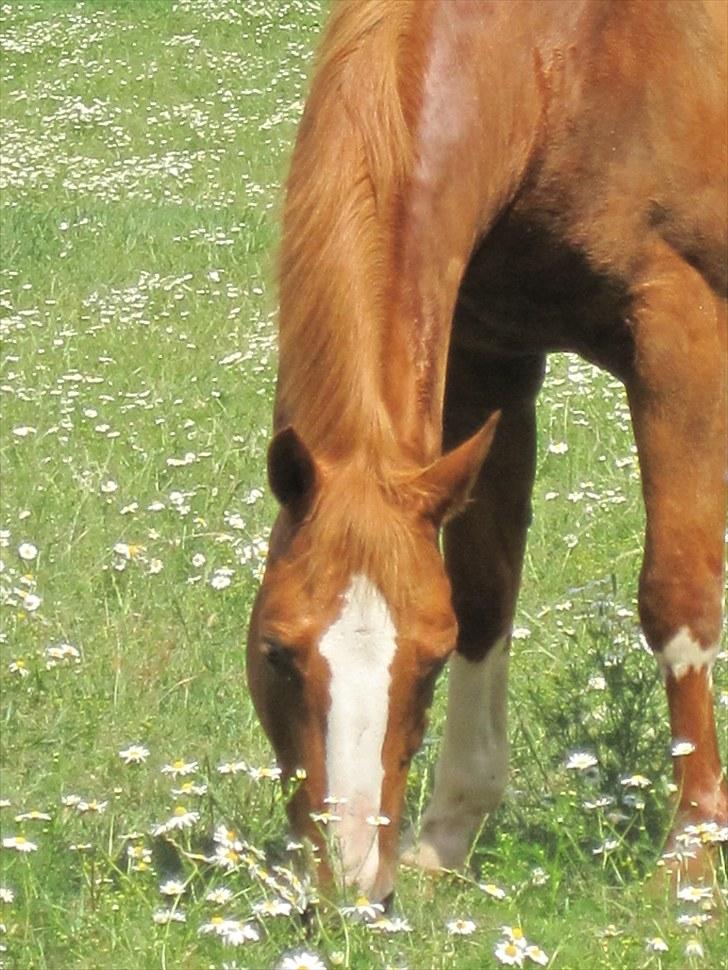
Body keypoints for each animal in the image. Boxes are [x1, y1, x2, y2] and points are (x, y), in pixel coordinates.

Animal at [247, 0, 724, 900]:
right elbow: (484, 590)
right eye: (276, 653)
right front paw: (447, 838)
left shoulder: (681, 335)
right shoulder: (488, 354)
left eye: (427, 668)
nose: (354, 886)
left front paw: (692, 857)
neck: (570, 54)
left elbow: (677, 597)